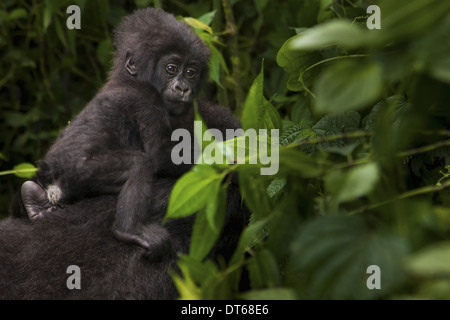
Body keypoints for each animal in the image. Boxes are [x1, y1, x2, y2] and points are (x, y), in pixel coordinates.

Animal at [18, 8, 239, 258]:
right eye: (171, 69)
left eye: (191, 72)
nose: (183, 88)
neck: (127, 77)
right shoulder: (145, 98)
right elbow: (160, 153)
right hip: (79, 169)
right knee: (139, 165)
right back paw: (128, 231)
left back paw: (35, 204)